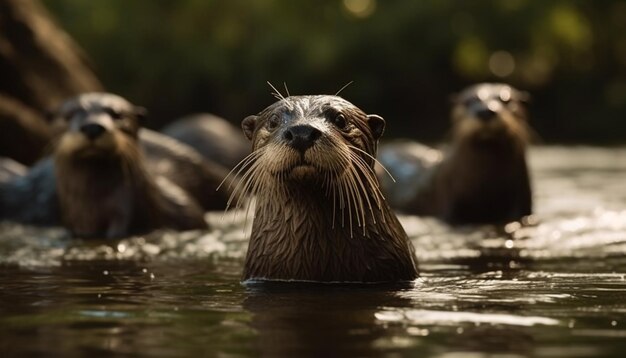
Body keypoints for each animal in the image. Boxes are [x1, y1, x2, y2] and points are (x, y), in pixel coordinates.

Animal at [376, 83, 532, 225]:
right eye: (468, 101)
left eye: (507, 100)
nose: (485, 112)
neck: (486, 185)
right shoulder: (450, 199)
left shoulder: (520, 200)